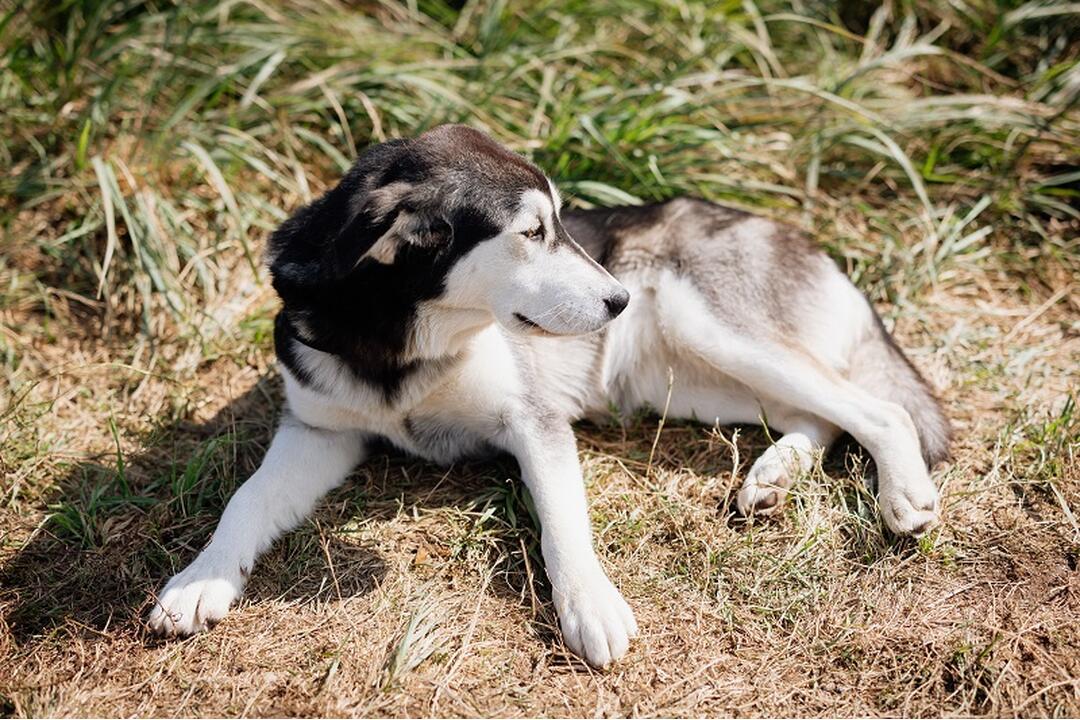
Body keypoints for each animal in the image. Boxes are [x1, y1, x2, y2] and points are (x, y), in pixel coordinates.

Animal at [147, 124, 950, 669]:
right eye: (532, 233)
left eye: (562, 223)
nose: (619, 298)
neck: (406, 340)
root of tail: (804, 238)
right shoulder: (318, 431)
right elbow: (246, 498)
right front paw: (199, 581)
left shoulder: (533, 423)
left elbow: (563, 527)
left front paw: (590, 605)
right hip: (695, 383)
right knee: (817, 416)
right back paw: (773, 478)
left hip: (714, 332)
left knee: (878, 410)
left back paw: (902, 495)